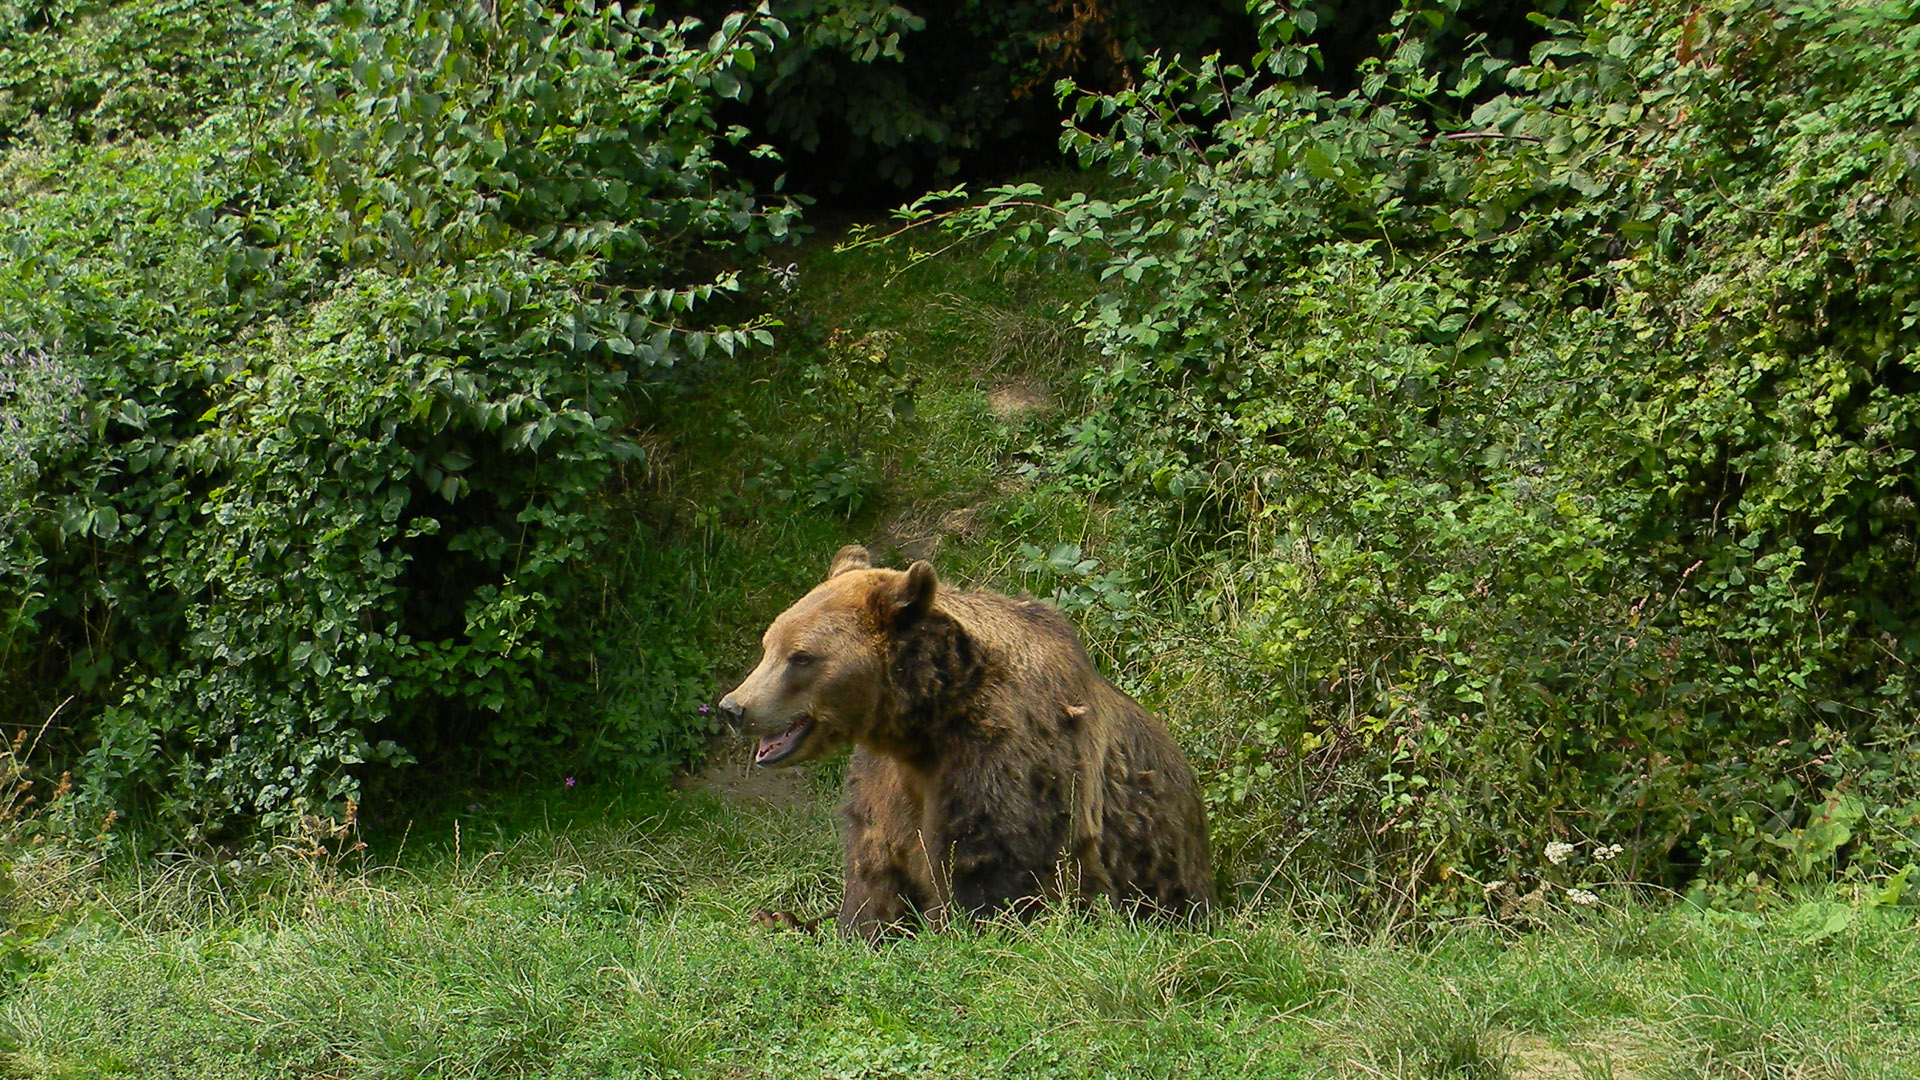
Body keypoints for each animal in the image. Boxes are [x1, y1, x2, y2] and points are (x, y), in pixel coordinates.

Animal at [721, 541, 1213, 937]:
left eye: (800, 657)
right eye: (769, 646)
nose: (734, 708)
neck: (923, 725)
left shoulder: (1001, 759)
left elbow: (983, 871)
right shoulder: (884, 777)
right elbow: (874, 868)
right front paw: (845, 926)